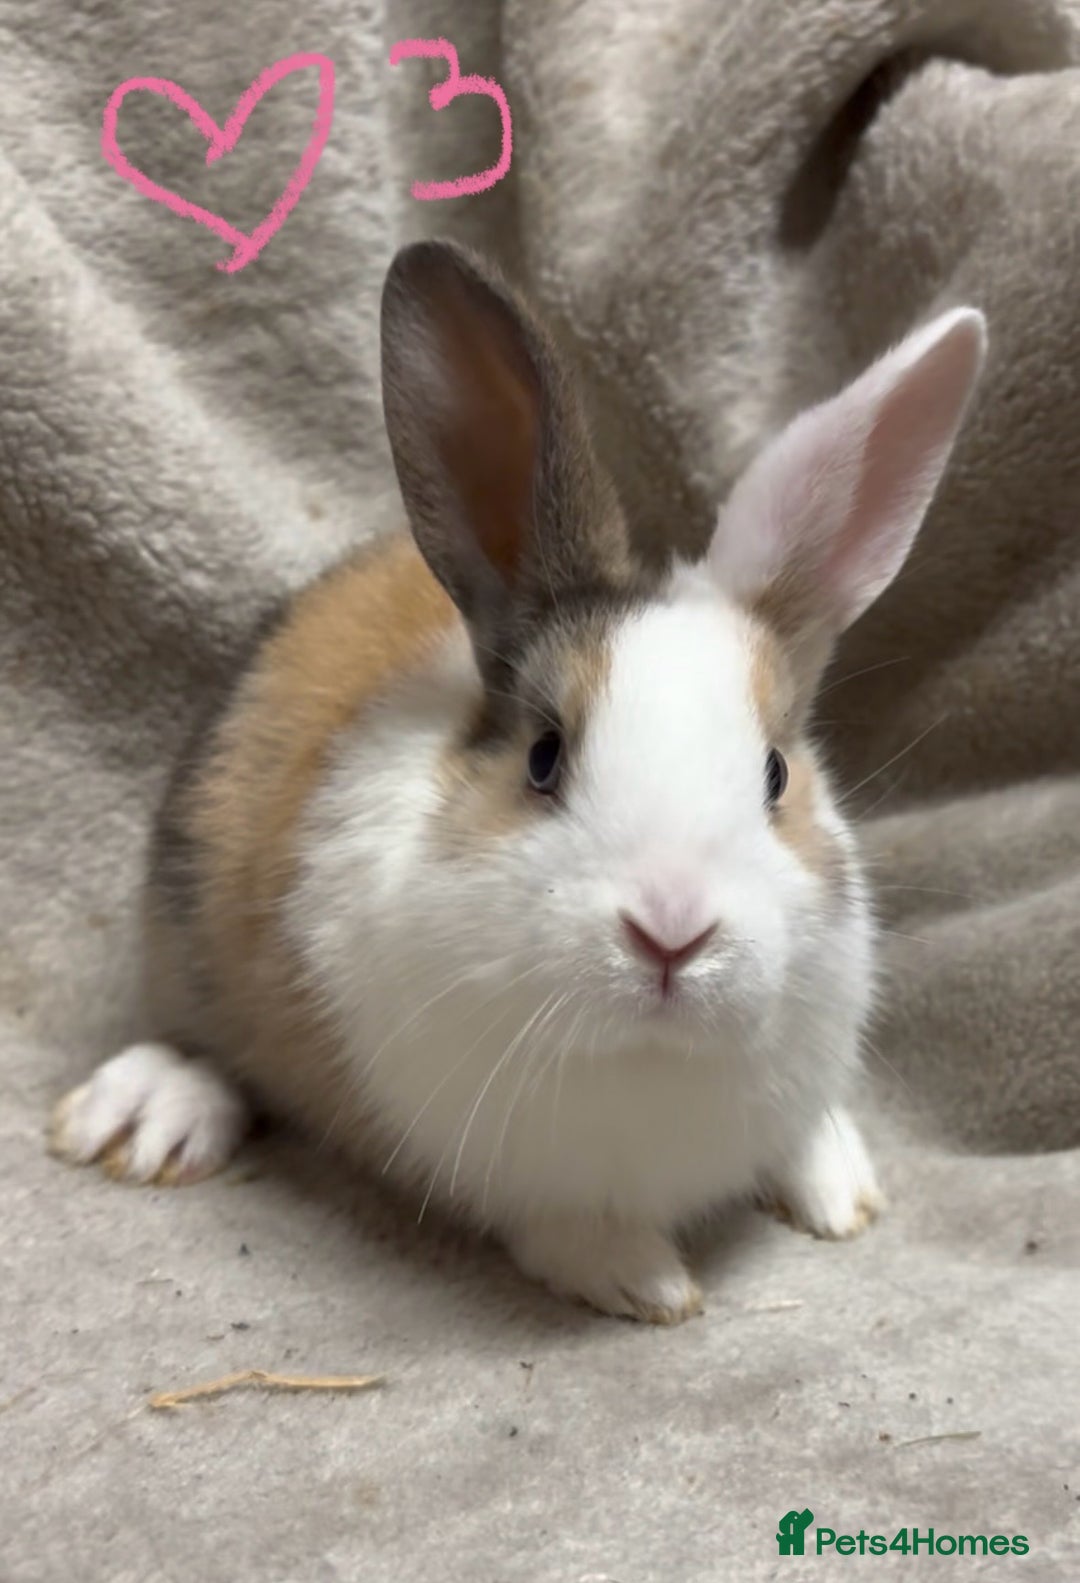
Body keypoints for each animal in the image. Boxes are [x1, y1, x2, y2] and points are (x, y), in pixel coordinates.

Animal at [49, 240, 986, 1323]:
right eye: (543, 755)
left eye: (776, 772)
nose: (673, 932)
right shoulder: (510, 1177)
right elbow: (570, 1231)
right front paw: (647, 1281)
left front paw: (840, 1192)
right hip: (187, 930)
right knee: (198, 1038)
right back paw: (147, 1112)